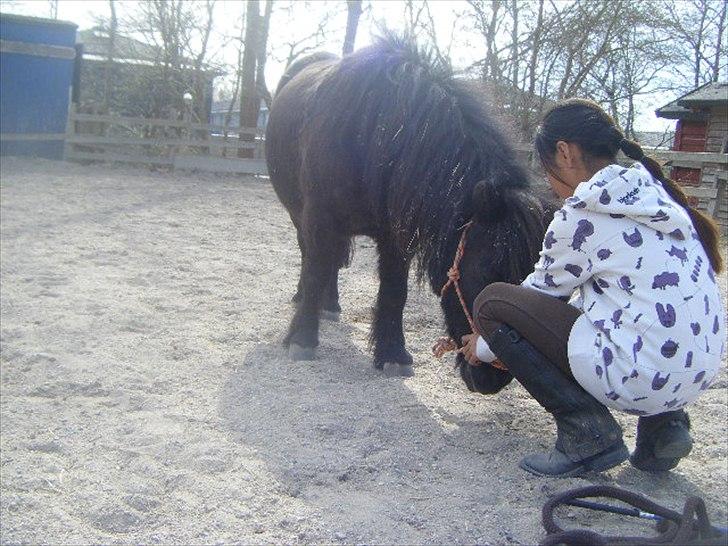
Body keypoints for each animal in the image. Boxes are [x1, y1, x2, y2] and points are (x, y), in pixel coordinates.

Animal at [265, 34, 551, 394]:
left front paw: (392, 354)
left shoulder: (396, 237)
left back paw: (329, 306)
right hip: (300, 216)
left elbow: (394, 291)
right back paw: (306, 300)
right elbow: (315, 269)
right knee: (311, 259)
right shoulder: (318, 218)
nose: (492, 380)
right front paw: (302, 338)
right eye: (484, 274)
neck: (371, 134)